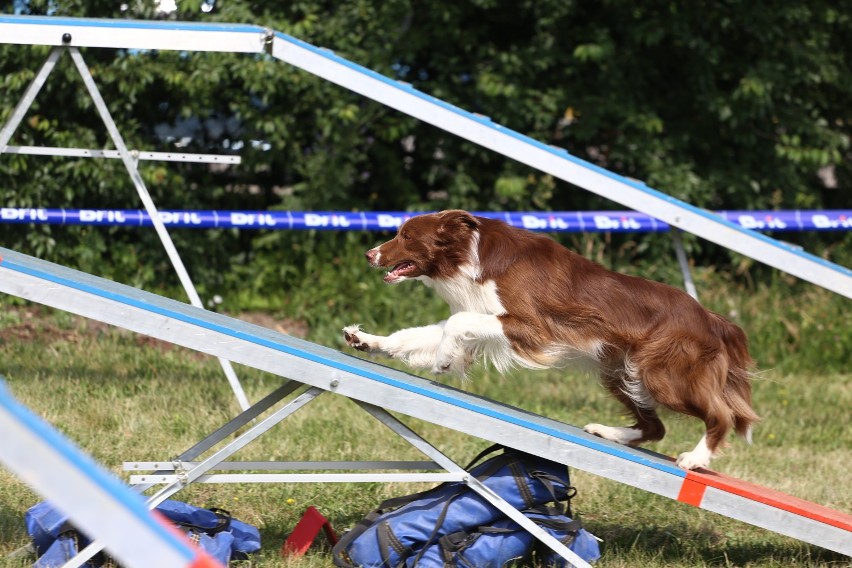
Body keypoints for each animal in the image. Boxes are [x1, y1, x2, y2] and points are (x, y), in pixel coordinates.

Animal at [344, 211, 760, 468]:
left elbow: (455, 324)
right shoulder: (485, 317)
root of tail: (711, 318)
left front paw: (445, 358)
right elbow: (419, 334)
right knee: (655, 427)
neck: (469, 259)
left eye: (406, 236)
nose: (368, 253)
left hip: (663, 374)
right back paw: (607, 432)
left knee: (720, 413)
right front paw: (365, 340)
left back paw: (696, 459)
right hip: (619, 370)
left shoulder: (531, 326)